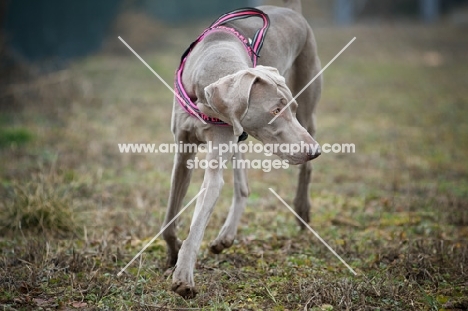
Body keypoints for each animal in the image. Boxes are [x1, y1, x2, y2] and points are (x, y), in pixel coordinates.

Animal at [163, 0, 320, 298]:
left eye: (290, 108)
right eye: (275, 110)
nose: (315, 152)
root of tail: (292, 10)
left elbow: (199, 218)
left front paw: (183, 277)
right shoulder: (184, 149)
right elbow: (169, 217)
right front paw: (173, 254)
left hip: (308, 98)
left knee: (304, 166)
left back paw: (302, 208)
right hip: (241, 136)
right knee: (243, 185)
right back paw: (225, 237)